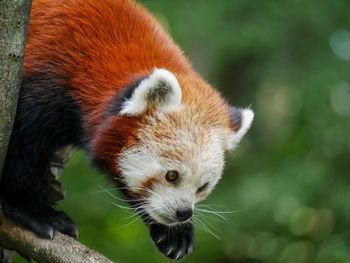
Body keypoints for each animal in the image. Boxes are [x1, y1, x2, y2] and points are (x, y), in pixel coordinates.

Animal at [0, 0, 253, 260]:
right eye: (171, 175)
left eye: (203, 187)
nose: (183, 213)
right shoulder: (45, 80)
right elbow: (21, 149)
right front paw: (33, 210)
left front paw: (174, 234)